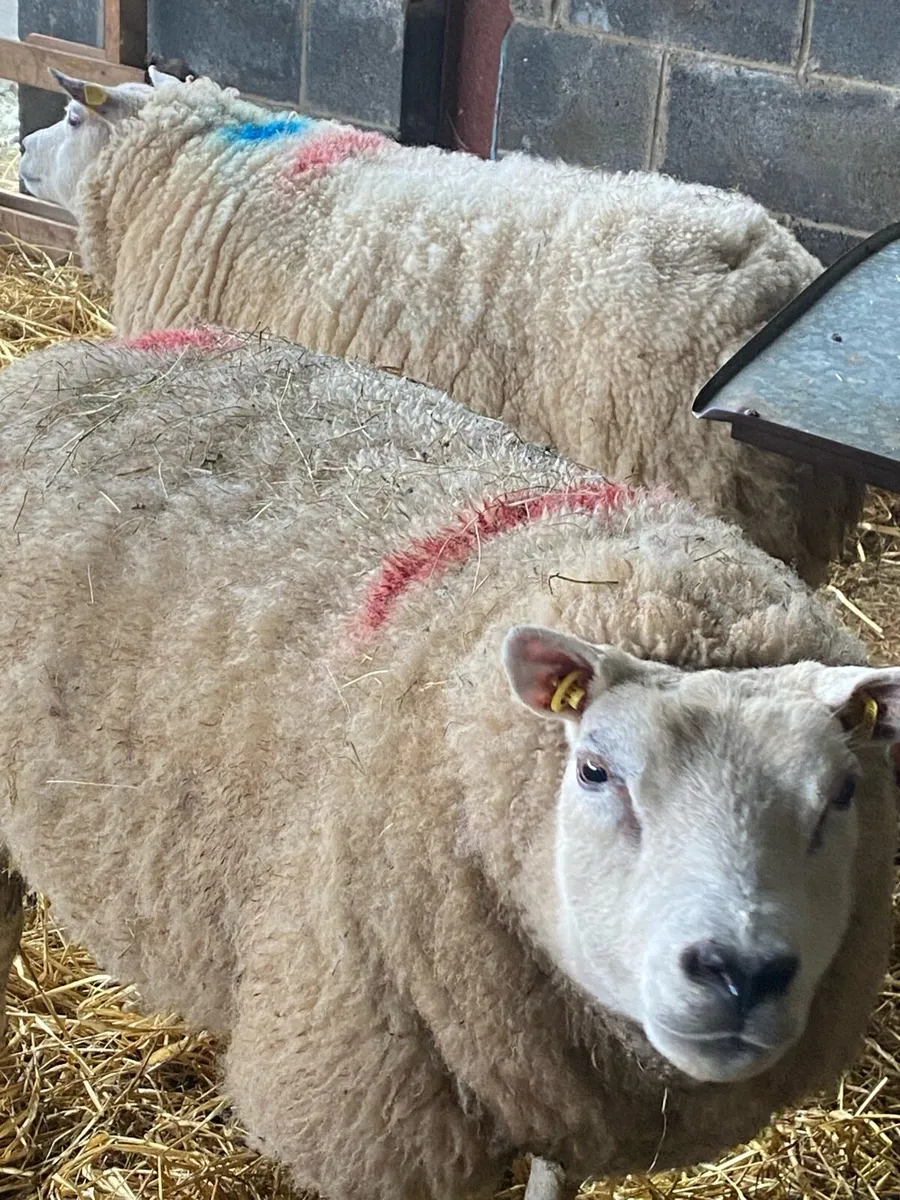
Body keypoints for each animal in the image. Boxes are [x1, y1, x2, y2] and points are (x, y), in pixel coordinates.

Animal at [0, 328, 896, 1200]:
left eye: (843, 793)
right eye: (596, 771)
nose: (741, 972)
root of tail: (74, 355)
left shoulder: (564, 1103)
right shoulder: (378, 1119)